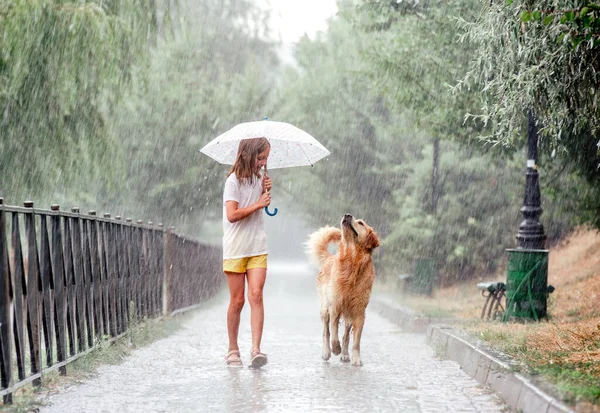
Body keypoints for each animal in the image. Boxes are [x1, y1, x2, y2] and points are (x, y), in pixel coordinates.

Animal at [304, 214, 380, 366]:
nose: (347, 215)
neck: (352, 261)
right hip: (325, 308)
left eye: (361, 223)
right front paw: (335, 348)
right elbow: (333, 332)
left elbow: (356, 341)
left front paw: (356, 358)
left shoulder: (358, 311)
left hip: (348, 313)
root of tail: (329, 257)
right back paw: (327, 352)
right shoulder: (335, 306)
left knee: (345, 335)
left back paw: (345, 354)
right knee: (326, 331)